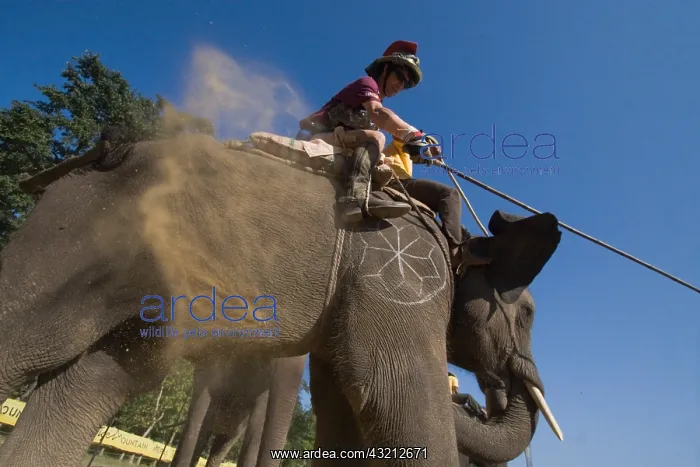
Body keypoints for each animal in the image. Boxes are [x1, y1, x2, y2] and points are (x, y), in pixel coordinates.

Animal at [0, 130, 563, 466]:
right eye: (528, 313)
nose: (470, 398)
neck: (462, 239)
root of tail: (103, 150)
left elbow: (347, 405)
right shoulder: (401, 279)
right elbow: (393, 393)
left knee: (96, 377)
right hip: (82, 228)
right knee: (28, 336)